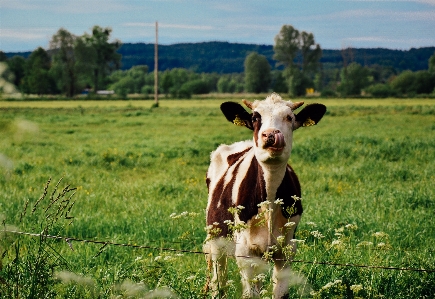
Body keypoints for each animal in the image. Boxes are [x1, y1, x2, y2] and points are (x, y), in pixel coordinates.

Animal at [204, 94, 328, 299]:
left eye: (289, 117)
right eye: (255, 117)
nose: (270, 134)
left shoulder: (286, 250)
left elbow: (279, 292)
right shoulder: (244, 251)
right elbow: (250, 294)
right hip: (216, 237)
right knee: (218, 279)